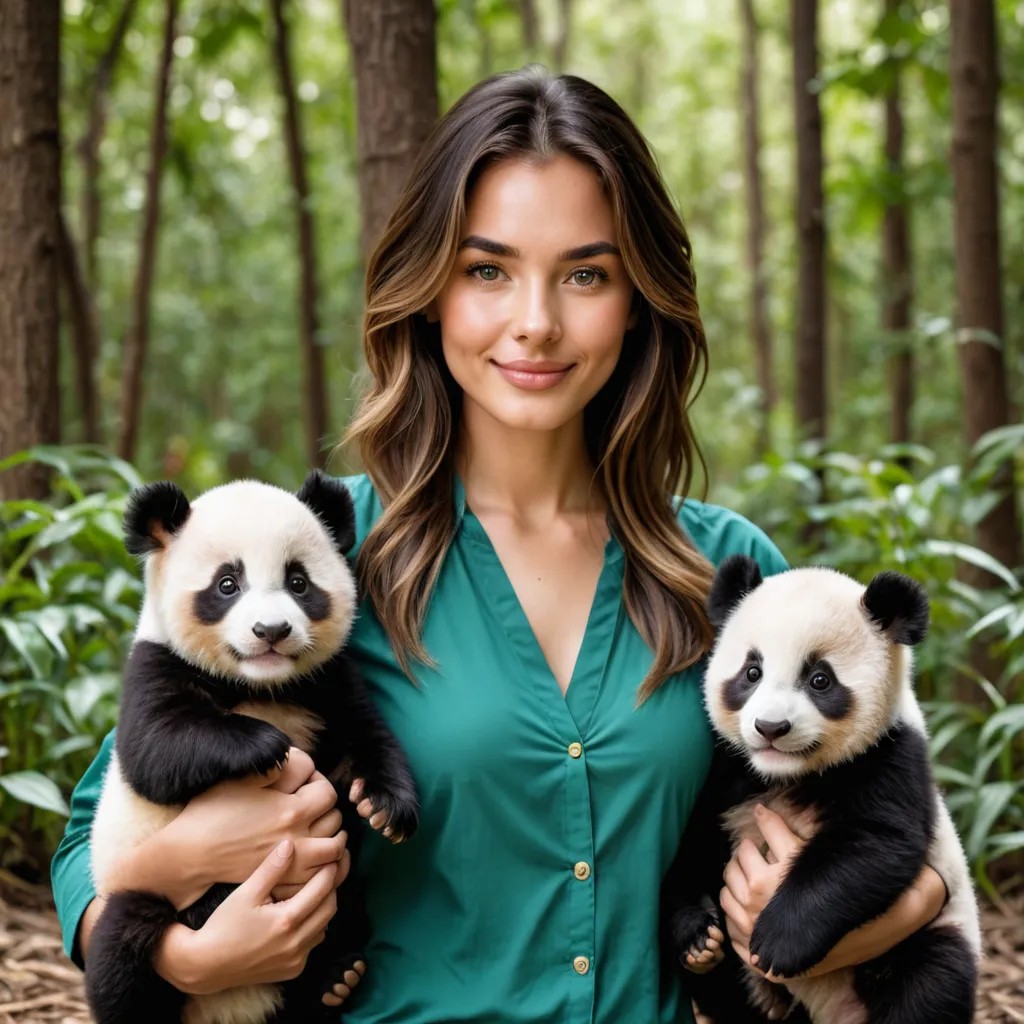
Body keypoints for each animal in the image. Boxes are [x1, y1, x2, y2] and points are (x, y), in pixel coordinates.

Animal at [86, 470, 419, 1024]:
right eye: (227, 584)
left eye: (298, 582)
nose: (272, 631)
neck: (261, 686)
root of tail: (234, 1005)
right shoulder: (155, 665)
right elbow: (156, 746)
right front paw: (266, 745)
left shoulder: (326, 682)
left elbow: (368, 735)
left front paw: (387, 807)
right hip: (148, 901)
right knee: (123, 949)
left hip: (339, 897)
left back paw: (335, 980)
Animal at [663, 555, 981, 1024]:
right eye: (752, 672)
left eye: (819, 680)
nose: (770, 727)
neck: (786, 774)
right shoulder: (727, 770)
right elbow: (694, 839)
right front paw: (694, 931)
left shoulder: (889, 757)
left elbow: (873, 844)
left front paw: (778, 942)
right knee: (727, 993)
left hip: (933, 929)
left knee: (931, 982)